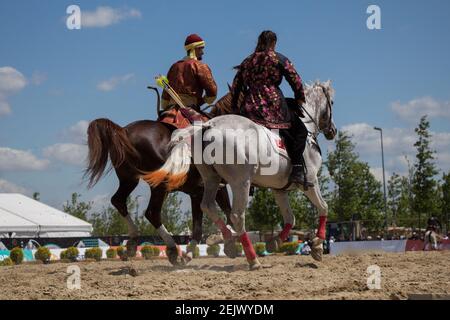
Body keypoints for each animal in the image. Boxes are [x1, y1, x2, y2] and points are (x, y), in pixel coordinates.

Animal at [83, 90, 236, 264]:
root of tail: (123, 131)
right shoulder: (214, 188)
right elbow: (227, 215)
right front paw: (227, 243)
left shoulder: (197, 192)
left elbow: (202, 225)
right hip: (160, 185)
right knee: (152, 213)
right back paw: (172, 248)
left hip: (129, 179)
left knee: (119, 201)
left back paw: (133, 242)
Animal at [142, 81, 336, 268]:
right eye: (332, 102)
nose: (332, 130)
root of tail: (209, 125)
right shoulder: (311, 181)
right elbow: (323, 207)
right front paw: (317, 245)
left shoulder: (279, 190)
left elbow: (290, 218)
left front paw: (275, 242)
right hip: (240, 182)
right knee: (236, 216)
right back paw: (251, 259)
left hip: (211, 180)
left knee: (208, 206)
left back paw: (226, 241)